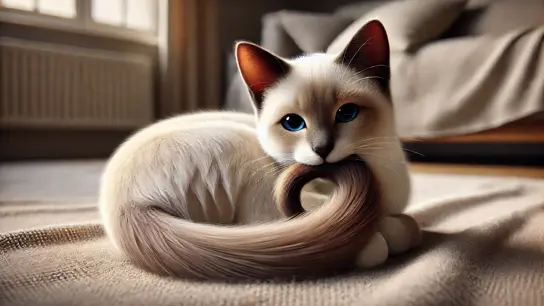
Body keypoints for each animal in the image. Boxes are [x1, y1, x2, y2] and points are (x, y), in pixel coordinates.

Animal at [99, 19, 420, 282]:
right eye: (293, 123)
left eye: (347, 113)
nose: (322, 149)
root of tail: (125, 206)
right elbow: (389, 235)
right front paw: (379, 240)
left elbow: (408, 224)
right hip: (244, 152)